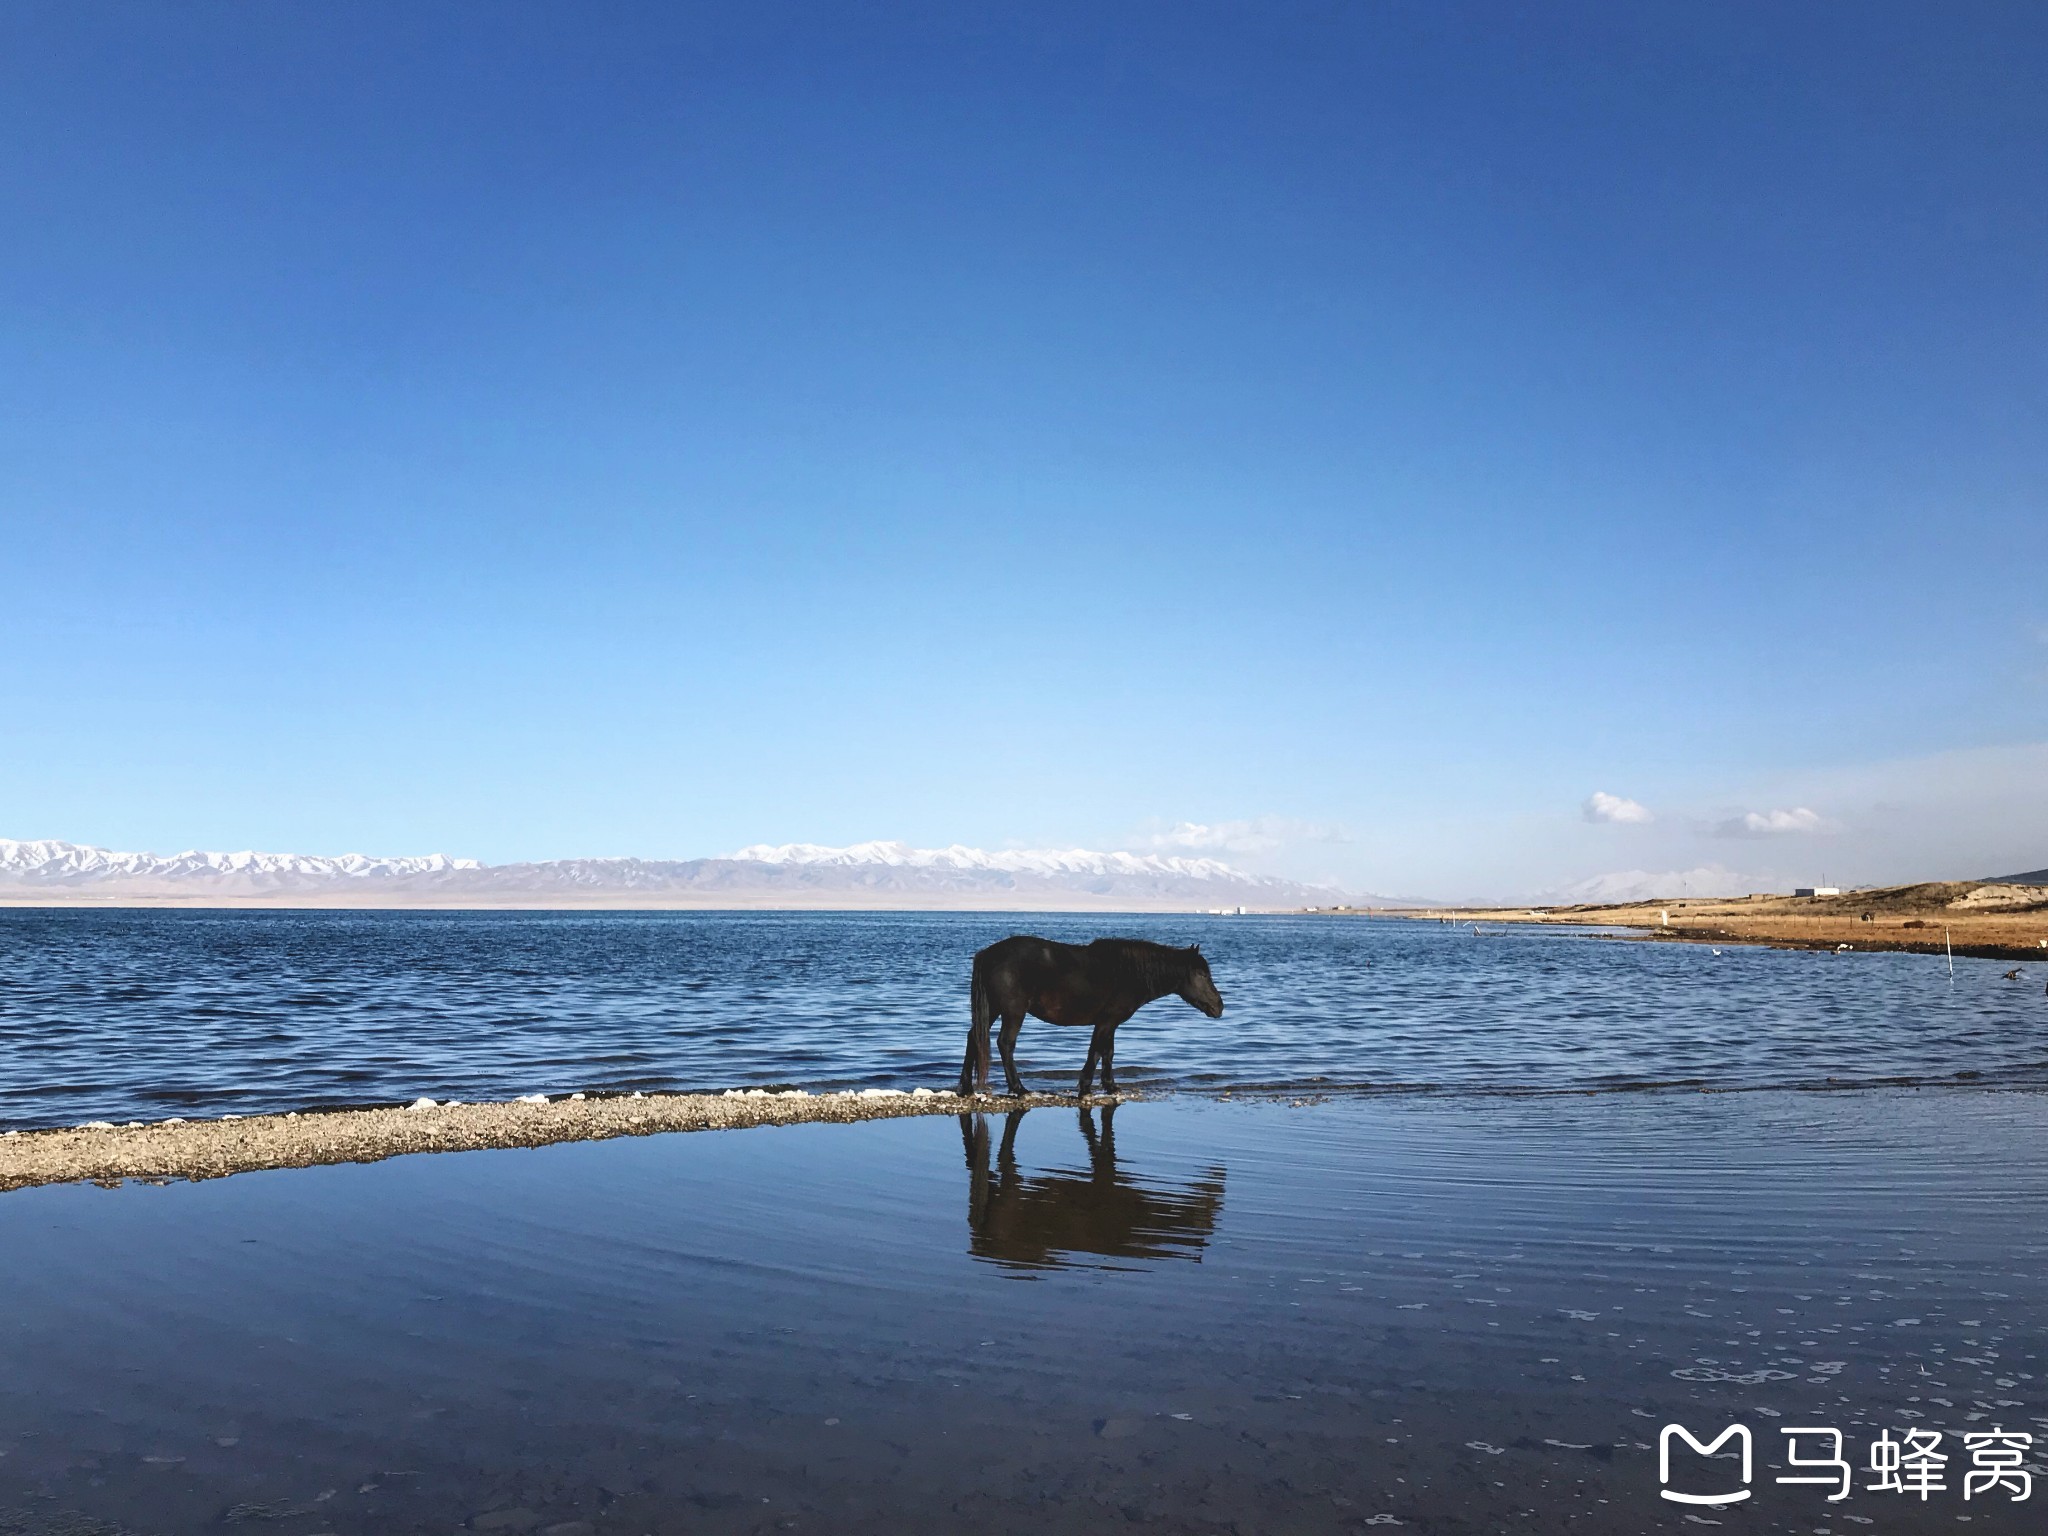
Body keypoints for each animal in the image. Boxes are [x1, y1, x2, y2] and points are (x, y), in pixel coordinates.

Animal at [954, 933, 1220, 1097]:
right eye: (1202, 975)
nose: (1219, 1006)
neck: (1127, 972)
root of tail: (987, 954)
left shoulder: (1109, 1024)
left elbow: (1107, 1052)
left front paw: (1110, 1086)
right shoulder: (1106, 1022)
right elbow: (1097, 1052)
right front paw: (1085, 1088)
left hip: (992, 1010)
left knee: (973, 1038)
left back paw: (966, 1087)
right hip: (1012, 1012)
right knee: (1005, 1043)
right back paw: (1018, 1088)